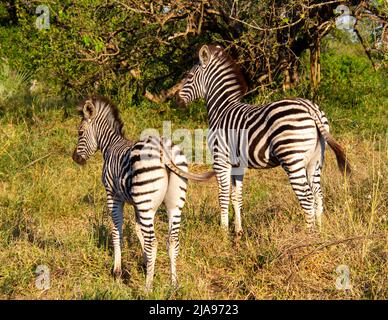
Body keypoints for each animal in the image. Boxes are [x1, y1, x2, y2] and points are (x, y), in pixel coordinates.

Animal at [71, 96, 214, 292]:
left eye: (80, 132)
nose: (75, 158)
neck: (111, 145)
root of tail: (164, 150)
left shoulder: (113, 196)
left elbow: (116, 229)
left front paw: (117, 271)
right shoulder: (137, 203)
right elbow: (138, 229)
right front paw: (146, 264)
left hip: (146, 201)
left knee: (153, 242)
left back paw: (148, 288)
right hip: (173, 202)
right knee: (172, 241)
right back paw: (174, 284)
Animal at [177, 45, 352, 234]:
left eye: (188, 77)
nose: (176, 101)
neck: (221, 109)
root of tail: (310, 107)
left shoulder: (220, 159)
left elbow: (222, 196)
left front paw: (223, 233)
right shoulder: (238, 164)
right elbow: (236, 197)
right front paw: (238, 232)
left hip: (292, 158)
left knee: (307, 197)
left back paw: (309, 235)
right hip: (316, 159)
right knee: (318, 194)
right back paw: (319, 232)